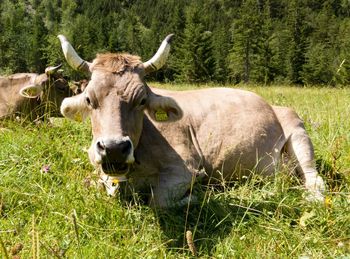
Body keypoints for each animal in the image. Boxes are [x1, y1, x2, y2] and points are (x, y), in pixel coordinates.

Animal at [58, 34, 326, 208]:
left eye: (142, 100)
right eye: (90, 99)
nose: (114, 148)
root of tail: (272, 104)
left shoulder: (186, 168)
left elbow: (158, 201)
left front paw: (198, 196)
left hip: (298, 132)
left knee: (314, 179)